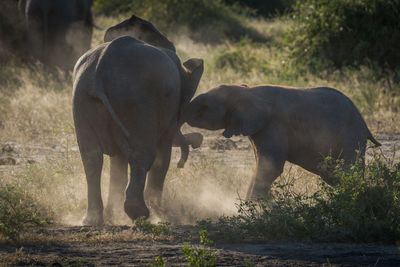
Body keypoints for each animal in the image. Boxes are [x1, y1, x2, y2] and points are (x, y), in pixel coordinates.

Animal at [72, 15, 203, 226]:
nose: (198, 141)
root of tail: (98, 73)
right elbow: (162, 156)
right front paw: (161, 214)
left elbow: (117, 161)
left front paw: (113, 216)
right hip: (134, 100)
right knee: (144, 154)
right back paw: (139, 214)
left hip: (83, 99)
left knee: (91, 157)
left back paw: (92, 221)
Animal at [184, 85, 382, 200]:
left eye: (204, 108)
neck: (248, 90)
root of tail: (365, 123)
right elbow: (261, 165)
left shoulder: (274, 124)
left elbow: (270, 167)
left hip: (351, 135)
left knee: (349, 170)